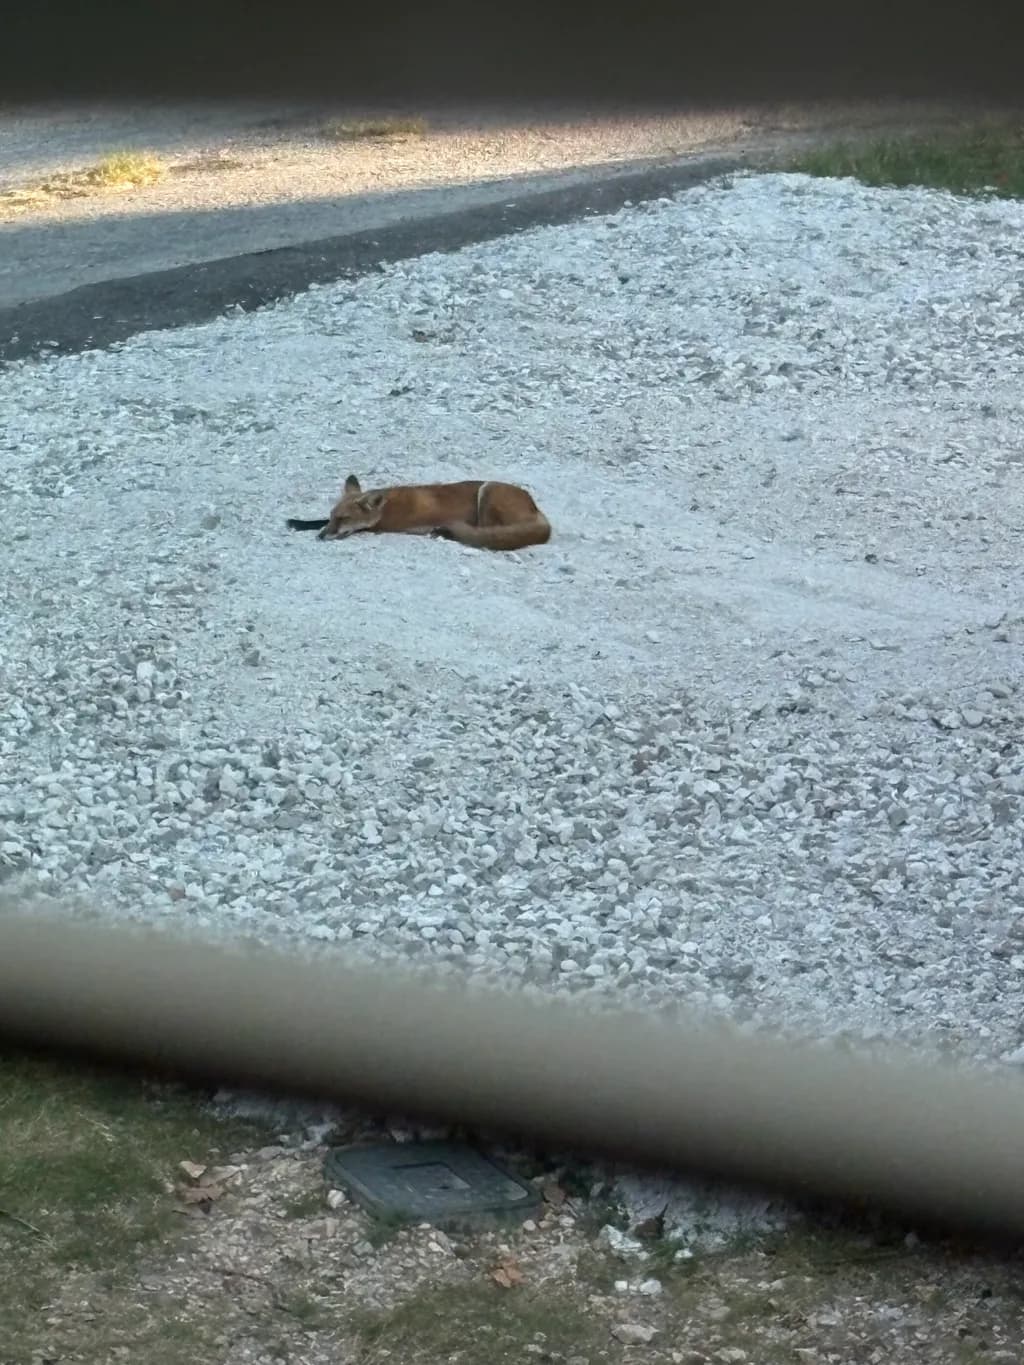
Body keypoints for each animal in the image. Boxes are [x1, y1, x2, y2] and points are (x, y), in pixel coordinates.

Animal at [287, 474, 551, 552]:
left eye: (343, 519)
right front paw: (299, 523)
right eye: (334, 515)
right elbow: (317, 519)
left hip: (487, 493)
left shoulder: (382, 527)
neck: (387, 507)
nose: (321, 537)